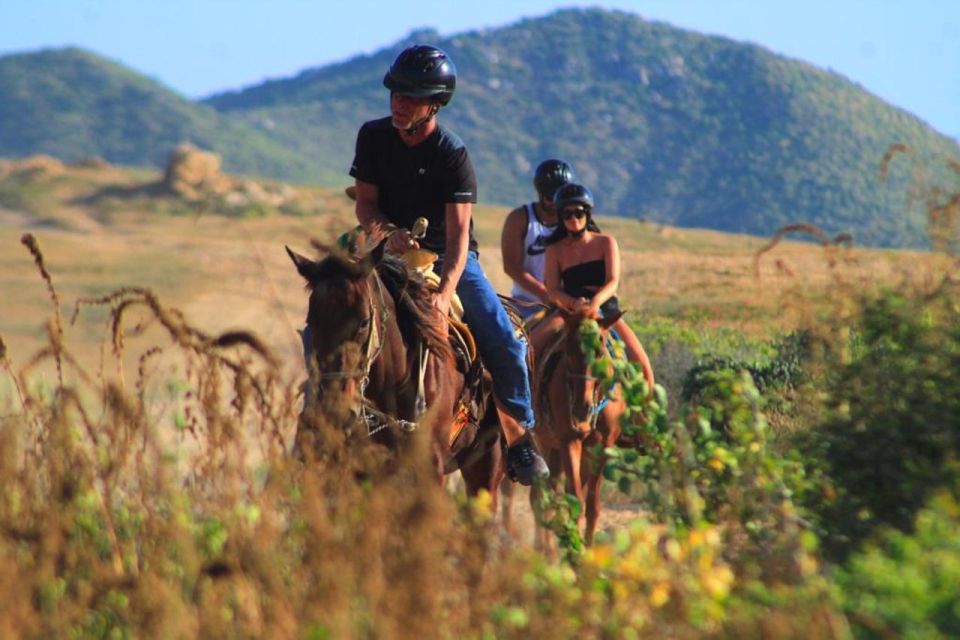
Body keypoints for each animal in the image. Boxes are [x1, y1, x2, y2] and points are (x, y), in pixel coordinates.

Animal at [528, 308, 628, 544]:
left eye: (600, 352)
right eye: (569, 351)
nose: (582, 409)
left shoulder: (603, 446)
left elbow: (592, 505)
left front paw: (587, 549)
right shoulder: (569, 442)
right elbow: (575, 501)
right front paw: (575, 548)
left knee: (552, 492)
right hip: (544, 442)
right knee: (541, 497)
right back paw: (544, 547)